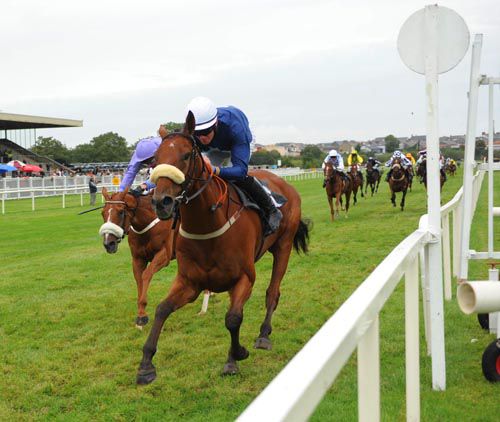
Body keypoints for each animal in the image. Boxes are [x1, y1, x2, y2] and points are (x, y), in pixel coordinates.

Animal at [99, 189, 176, 330]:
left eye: (121, 212)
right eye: (102, 212)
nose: (108, 244)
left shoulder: (164, 255)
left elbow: (146, 275)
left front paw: (142, 315)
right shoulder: (138, 259)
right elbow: (139, 279)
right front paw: (141, 315)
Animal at [135, 113, 310, 384]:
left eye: (186, 155)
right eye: (155, 159)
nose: (161, 202)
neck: (207, 226)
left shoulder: (245, 277)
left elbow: (233, 318)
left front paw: (237, 354)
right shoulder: (190, 282)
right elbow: (162, 309)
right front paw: (146, 364)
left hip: (284, 245)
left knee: (272, 292)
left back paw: (263, 335)